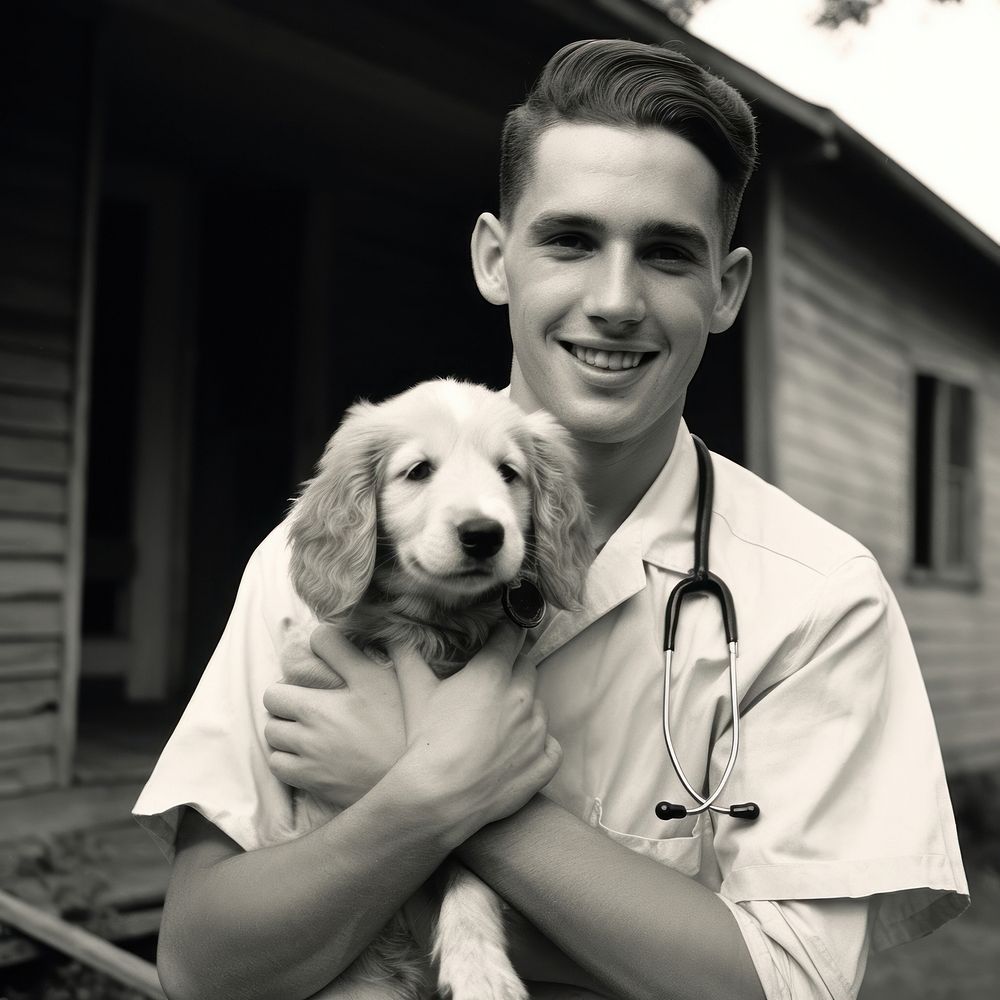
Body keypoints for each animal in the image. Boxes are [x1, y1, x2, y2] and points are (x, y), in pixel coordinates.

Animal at [286, 376, 588, 1000]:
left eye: (508, 473)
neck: (436, 628)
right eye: (419, 471)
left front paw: (481, 967)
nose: (483, 534)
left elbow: (471, 868)